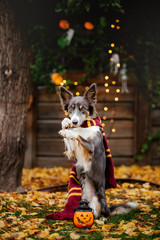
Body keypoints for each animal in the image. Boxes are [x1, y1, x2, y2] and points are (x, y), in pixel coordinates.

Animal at [58, 83, 138, 218]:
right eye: (70, 108)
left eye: (83, 108)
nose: (74, 121)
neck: (85, 124)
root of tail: (107, 208)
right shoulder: (72, 150)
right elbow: (68, 132)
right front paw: (66, 124)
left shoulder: (91, 147)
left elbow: (78, 132)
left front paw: (69, 130)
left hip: (98, 201)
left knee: (100, 215)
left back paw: (102, 219)